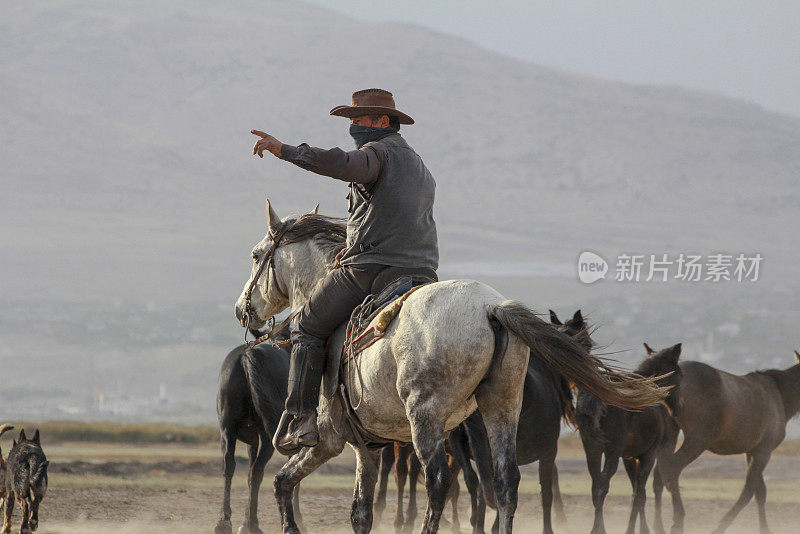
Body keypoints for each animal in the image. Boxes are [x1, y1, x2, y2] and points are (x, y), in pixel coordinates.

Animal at [214, 328, 302, 534]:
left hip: (227, 429)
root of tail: (246, 357)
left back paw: (225, 520)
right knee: (257, 473)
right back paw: (252, 524)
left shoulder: (252, 442)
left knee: (229, 465)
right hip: (268, 436)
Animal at [236, 202, 668, 534]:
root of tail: (490, 307)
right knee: (505, 482)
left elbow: (282, 482)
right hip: (501, 406)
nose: (243, 309)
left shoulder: (329, 438)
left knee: (440, 483)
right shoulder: (366, 446)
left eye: (256, 255)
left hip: (425, 416)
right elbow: (359, 512)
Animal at [576, 344, 680, 534]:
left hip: (592, 449)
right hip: (612, 451)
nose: (677, 408)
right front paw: (638, 529)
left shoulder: (629, 457)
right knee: (602, 486)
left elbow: (636, 492)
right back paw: (598, 528)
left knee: (595, 485)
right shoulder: (648, 454)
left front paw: (637, 528)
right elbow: (640, 494)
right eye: (680, 374)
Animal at [652, 352, 800, 534]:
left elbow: (760, 492)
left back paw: (658, 525)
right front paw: (721, 526)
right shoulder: (764, 452)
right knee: (672, 469)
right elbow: (748, 491)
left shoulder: (752, 452)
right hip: (696, 441)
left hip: (671, 437)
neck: (779, 393)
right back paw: (678, 520)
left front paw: (764, 528)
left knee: (659, 474)